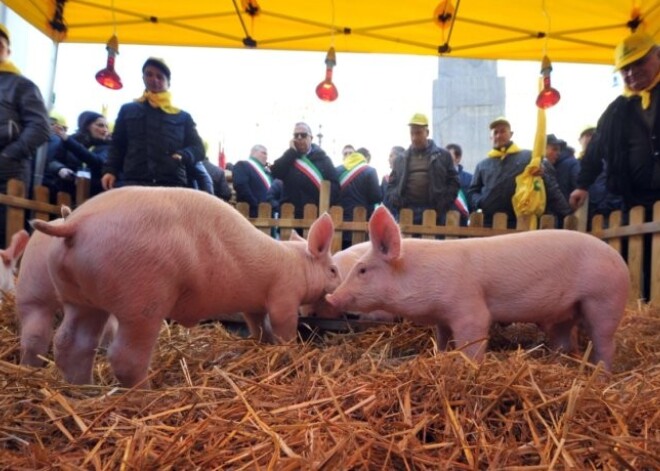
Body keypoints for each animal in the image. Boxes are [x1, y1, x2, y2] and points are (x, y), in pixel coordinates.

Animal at [31, 186, 340, 390]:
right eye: (333, 270)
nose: (337, 291)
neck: (299, 264)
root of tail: (76, 224)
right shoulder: (284, 294)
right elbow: (283, 323)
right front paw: (290, 347)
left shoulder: (253, 304)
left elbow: (257, 323)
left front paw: (264, 342)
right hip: (141, 299)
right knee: (123, 356)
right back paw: (146, 395)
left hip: (79, 298)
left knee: (70, 342)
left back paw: (83, 392)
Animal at [328, 206, 632, 372]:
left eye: (362, 270)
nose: (331, 297)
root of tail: (620, 260)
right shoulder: (442, 318)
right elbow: (442, 340)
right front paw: (441, 356)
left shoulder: (468, 307)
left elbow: (471, 341)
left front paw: (468, 367)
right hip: (565, 314)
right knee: (566, 342)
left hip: (603, 299)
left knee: (607, 343)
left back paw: (602, 376)